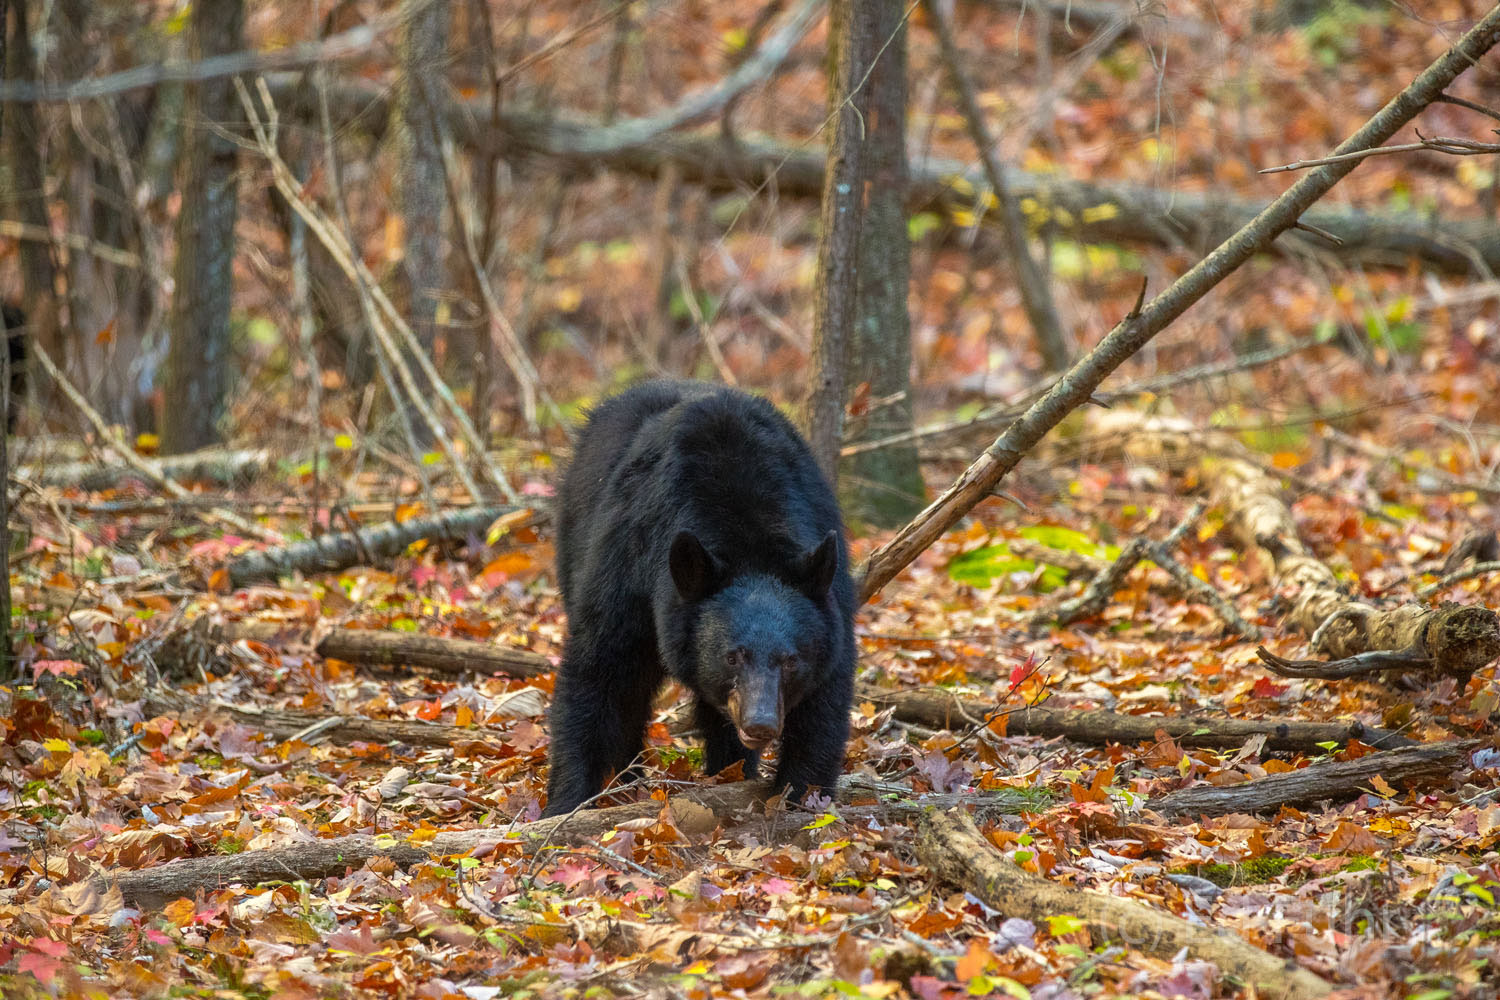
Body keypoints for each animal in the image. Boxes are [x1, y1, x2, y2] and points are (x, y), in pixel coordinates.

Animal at [549, 379, 858, 815]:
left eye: (790, 660)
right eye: (731, 656)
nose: (761, 723)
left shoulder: (830, 597)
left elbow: (824, 700)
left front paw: (802, 797)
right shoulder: (627, 562)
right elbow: (597, 670)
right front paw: (564, 804)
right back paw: (629, 778)